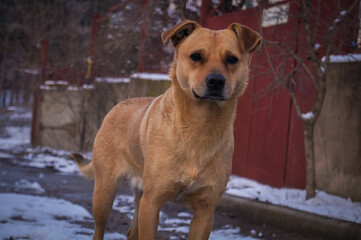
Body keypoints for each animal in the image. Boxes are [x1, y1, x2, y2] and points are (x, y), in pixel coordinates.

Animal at [71, 21, 260, 240]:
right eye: (196, 56)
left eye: (232, 59)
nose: (216, 81)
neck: (200, 125)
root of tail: (117, 106)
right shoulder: (152, 203)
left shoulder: (205, 211)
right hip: (105, 193)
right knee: (99, 229)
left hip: (139, 196)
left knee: (131, 232)